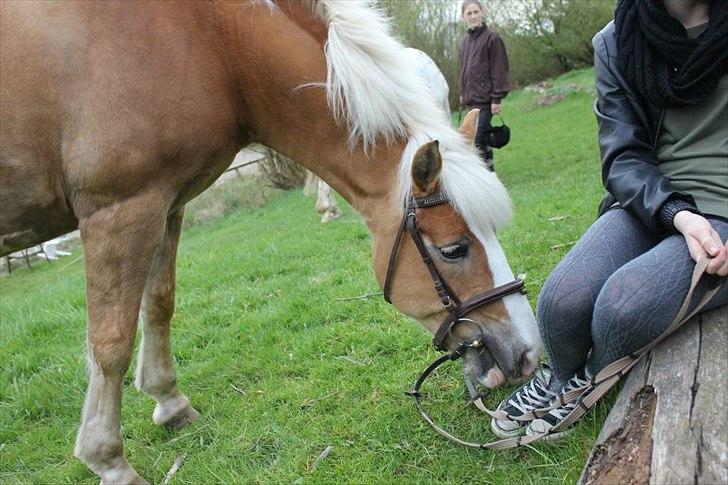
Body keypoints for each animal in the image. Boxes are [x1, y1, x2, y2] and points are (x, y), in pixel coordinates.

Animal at [0, 2, 536, 480]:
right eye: (454, 249)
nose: (528, 353)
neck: (206, 42)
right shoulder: (119, 209)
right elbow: (110, 341)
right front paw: (108, 459)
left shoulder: (165, 204)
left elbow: (159, 304)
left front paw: (169, 401)